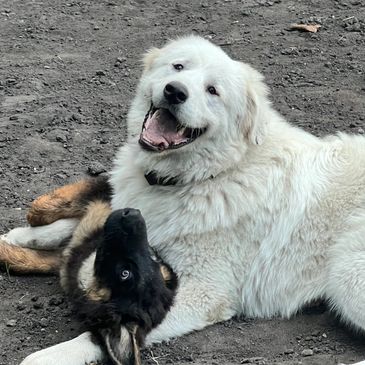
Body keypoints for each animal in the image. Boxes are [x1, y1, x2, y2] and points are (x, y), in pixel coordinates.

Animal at [2, 34, 364, 364]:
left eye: (213, 91)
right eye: (179, 67)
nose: (175, 91)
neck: (208, 175)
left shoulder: (204, 292)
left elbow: (95, 337)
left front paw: (47, 356)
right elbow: (68, 226)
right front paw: (20, 236)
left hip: (347, 275)